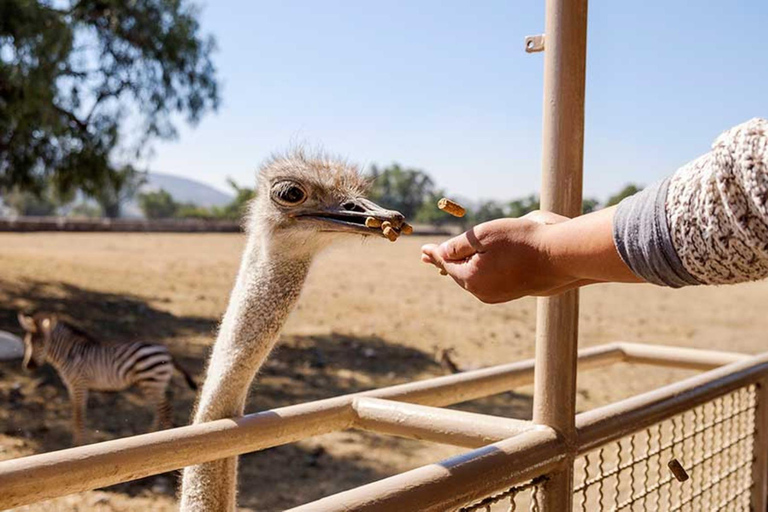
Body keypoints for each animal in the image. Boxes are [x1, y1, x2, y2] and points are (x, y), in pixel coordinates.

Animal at [17, 312, 196, 444]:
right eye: (26, 342)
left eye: (41, 344)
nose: (28, 366)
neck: (69, 354)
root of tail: (168, 352)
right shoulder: (71, 387)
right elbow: (75, 415)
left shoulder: (79, 384)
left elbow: (79, 416)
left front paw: (79, 444)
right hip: (151, 384)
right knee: (160, 409)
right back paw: (151, 434)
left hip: (152, 382)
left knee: (165, 409)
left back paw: (162, 434)